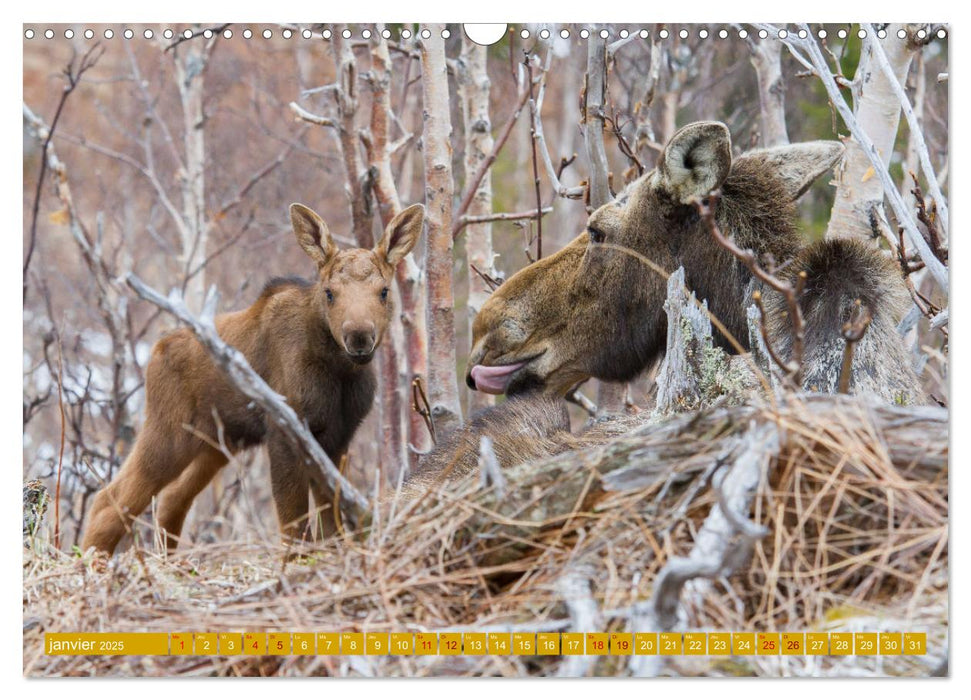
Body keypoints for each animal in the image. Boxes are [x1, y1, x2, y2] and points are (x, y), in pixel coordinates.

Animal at [79, 201, 422, 552]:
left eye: (384, 291)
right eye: (329, 293)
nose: (359, 337)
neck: (339, 374)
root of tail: (156, 351)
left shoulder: (339, 437)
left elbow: (331, 523)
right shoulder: (285, 431)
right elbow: (294, 525)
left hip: (215, 443)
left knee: (172, 499)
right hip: (169, 433)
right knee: (108, 500)